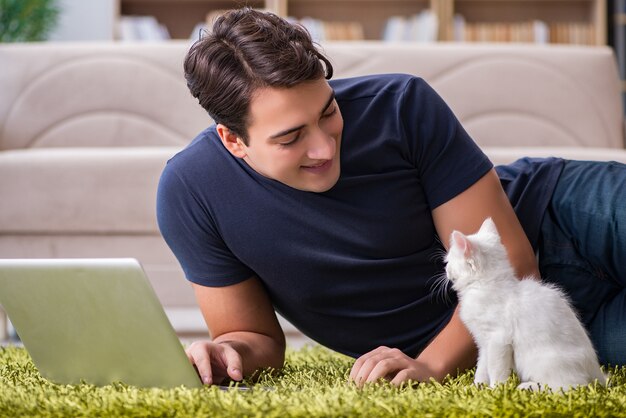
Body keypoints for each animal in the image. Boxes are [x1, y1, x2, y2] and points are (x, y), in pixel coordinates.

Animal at [444, 217, 604, 390]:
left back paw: (528, 387)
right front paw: (476, 387)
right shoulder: (483, 343)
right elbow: (482, 368)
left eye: (448, 261)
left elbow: (495, 369)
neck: (485, 284)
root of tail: (596, 371)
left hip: (542, 362)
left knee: (567, 386)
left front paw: (495, 389)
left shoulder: (497, 340)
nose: (446, 269)